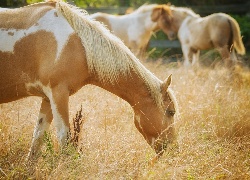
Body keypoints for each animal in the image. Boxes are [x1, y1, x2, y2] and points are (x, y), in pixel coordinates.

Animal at [0, 1, 179, 159]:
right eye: (171, 112)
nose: (174, 149)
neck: (78, 45)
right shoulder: (58, 94)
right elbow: (64, 139)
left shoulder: (47, 98)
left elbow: (37, 141)